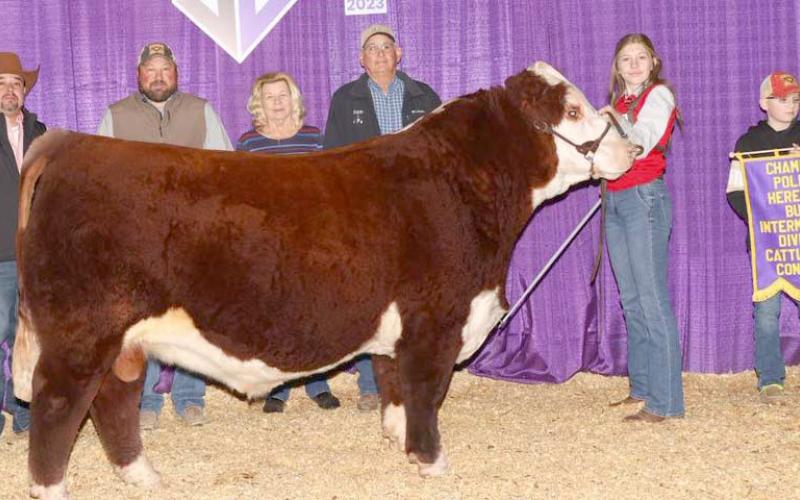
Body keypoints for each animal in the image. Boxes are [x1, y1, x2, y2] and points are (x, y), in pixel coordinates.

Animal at [13, 62, 636, 499]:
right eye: (573, 110)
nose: (630, 148)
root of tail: (71, 143)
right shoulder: (436, 320)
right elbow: (427, 391)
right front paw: (432, 461)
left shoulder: (400, 328)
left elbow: (394, 384)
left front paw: (397, 440)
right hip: (80, 333)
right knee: (58, 403)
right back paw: (52, 487)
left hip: (124, 340)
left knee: (114, 399)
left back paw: (142, 475)